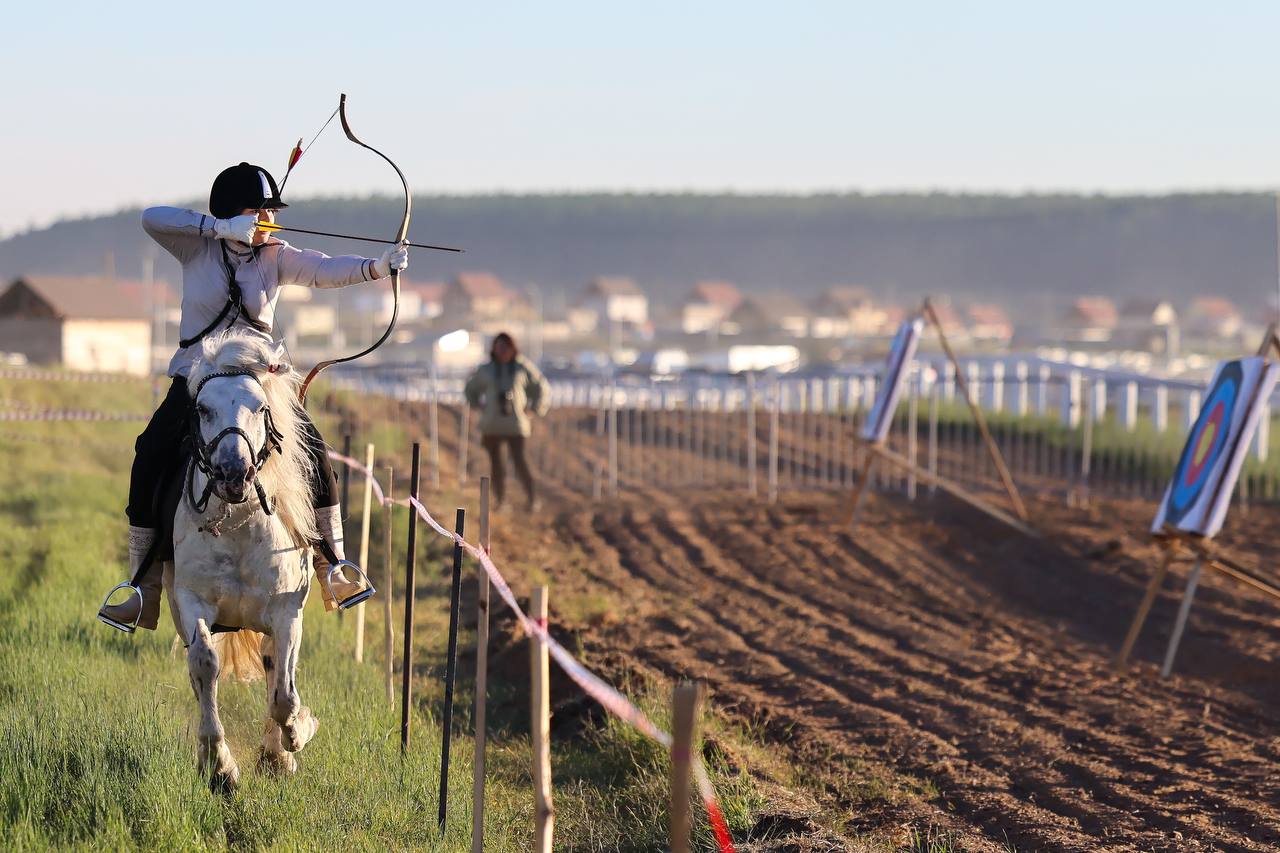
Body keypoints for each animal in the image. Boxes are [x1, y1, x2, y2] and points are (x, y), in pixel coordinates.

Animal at [165, 333, 322, 788]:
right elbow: (204, 665)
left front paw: (292, 739)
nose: (233, 473)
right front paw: (219, 767)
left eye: (260, 408)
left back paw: (278, 751)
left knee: (274, 666)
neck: (237, 523)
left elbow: (285, 694)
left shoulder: (287, 611)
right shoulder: (192, 602)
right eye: (202, 408)